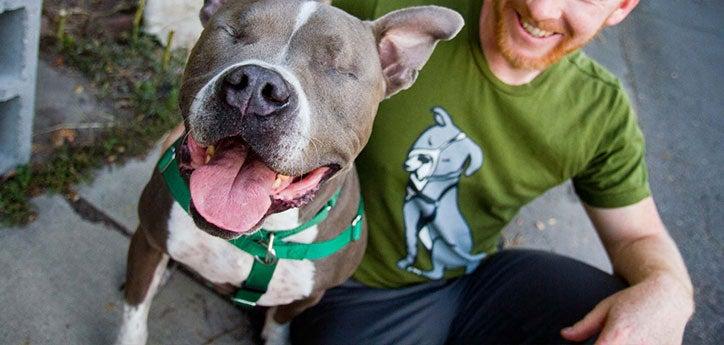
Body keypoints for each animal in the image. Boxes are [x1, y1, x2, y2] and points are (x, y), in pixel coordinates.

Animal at [114, 1, 464, 342]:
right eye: (232, 33)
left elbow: (280, 319)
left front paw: (275, 335)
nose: (255, 86)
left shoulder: (311, 295)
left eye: (338, 68)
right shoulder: (148, 240)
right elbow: (134, 316)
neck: (261, 236)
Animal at [396, 107, 486, 280]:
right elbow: (410, 239)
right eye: (430, 140)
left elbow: (410, 238)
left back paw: (417, 271)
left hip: (439, 245)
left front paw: (407, 263)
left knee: (437, 273)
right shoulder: (409, 205)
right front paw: (406, 261)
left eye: (447, 160)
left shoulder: (413, 208)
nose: (424, 158)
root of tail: (466, 259)